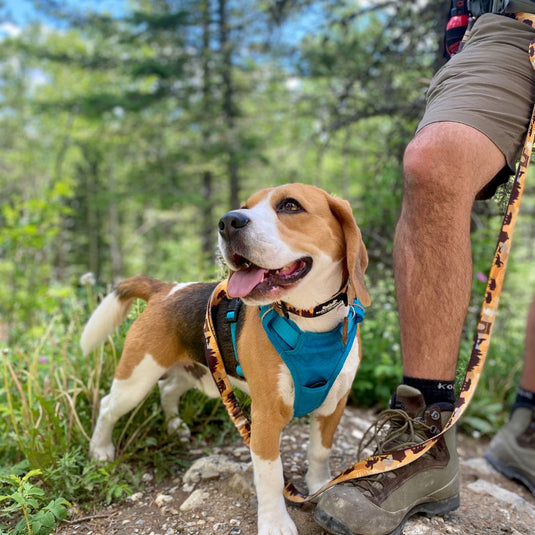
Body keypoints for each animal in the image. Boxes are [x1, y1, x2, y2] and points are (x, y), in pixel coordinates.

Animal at [81, 182, 370, 532]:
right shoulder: (265, 418)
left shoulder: (333, 406)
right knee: (109, 405)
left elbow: (319, 453)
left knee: (168, 390)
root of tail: (165, 288)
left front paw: (319, 486)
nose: (228, 222)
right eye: (244, 207)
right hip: (137, 377)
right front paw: (275, 522)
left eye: (290, 205)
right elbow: (271, 477)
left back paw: (175, 427)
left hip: (196, 372)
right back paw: (100, 449)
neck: (309, 322)